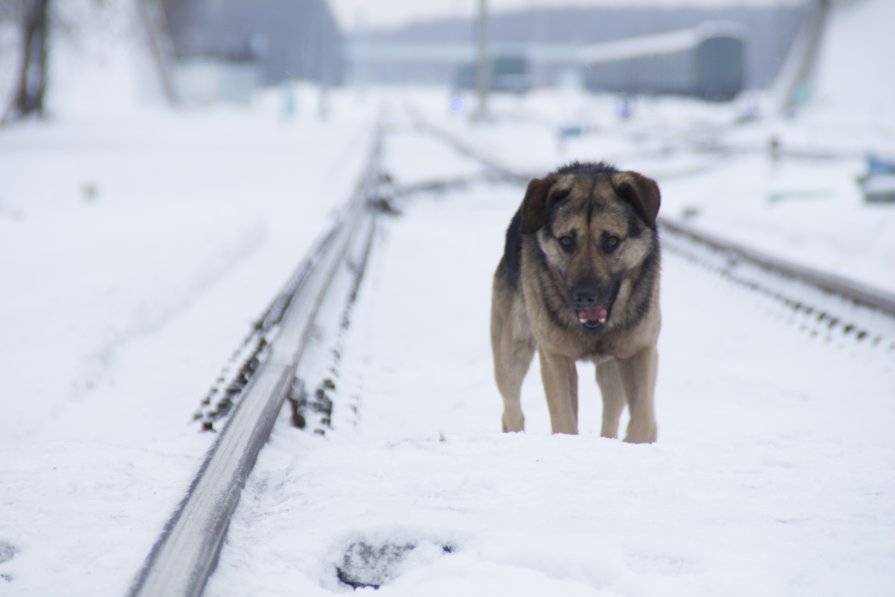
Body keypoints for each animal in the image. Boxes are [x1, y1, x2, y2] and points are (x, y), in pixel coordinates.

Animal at [486, 161, 660, 440]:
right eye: (566, 241)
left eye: (611, 241)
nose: (584, 296)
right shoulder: (556, 358)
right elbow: (564, 421)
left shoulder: (640, 351)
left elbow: (643, 419)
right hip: (512, 352)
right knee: (511, 409)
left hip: (612, 367)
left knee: (611, 413)